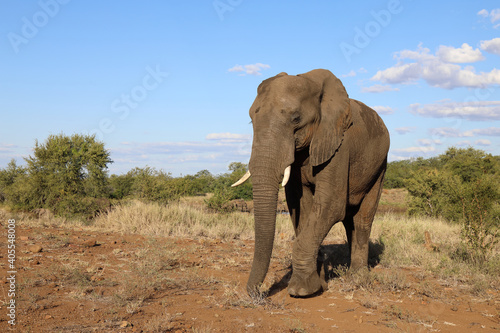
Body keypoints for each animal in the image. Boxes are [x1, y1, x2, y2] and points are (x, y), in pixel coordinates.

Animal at [231, 68, 390, 296]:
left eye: (296, 118)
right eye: (252, 120)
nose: (258, 292)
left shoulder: (339, 144)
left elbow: (330, 205)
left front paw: (302, 290)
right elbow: (299, 206)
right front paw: (319, 281)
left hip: (380, 166)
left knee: (362, 218)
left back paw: (358, 277)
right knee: (349, 220)